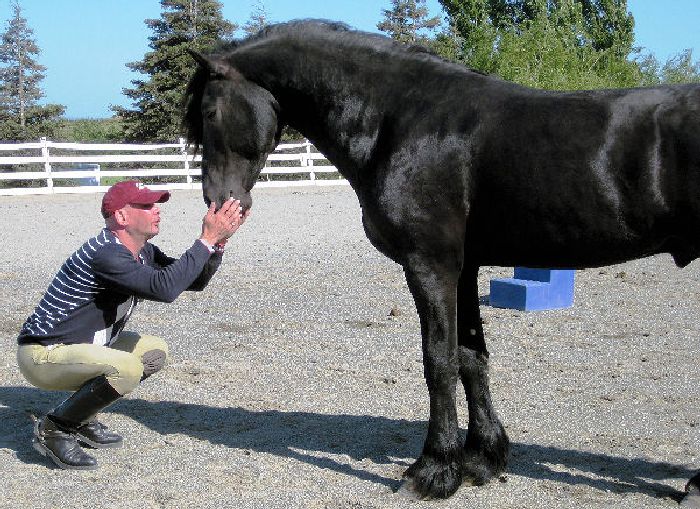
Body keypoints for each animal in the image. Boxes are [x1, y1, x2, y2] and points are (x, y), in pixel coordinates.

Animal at [185, 20, 700, 504]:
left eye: (209, 112)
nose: (216, 201)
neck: (400, 121)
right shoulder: (464, 269)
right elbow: (472, 358)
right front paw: (481, 459)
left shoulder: (431, 266)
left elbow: (440, 361)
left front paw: (434, 470)